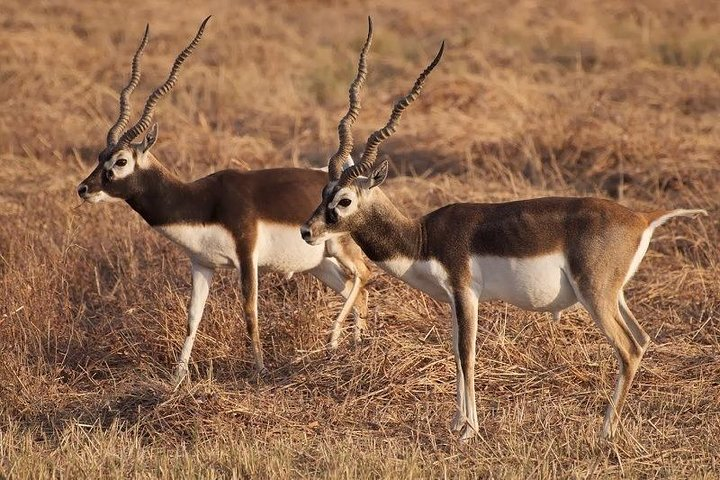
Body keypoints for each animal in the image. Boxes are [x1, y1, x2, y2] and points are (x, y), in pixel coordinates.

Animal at [76, 18, 374, 380]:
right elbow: (192, 318)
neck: (201, 201)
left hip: (340, 250)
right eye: (99, 155)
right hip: (320, 264)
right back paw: (353, 349)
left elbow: (250, 312)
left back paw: (344, 346)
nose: (84, 189)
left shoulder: (247, 256)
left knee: (363, 278)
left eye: (120, 161)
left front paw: (259, 371)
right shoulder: (202, 264)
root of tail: (350, 182)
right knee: (356, 290)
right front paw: (177, 378)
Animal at [300, 42, 708, 442]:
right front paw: (456, 423)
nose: (307, 231)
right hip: (614, 294)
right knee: (642, 339)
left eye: (344, 200)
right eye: (323, 192)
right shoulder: (454, 300)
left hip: (594, 294)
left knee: (628, 348)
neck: (422, 238)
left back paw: (605, 433)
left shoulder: (466, 292)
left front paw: (469, 431)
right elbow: (454, 351)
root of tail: (641, 218)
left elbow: (467, 355)